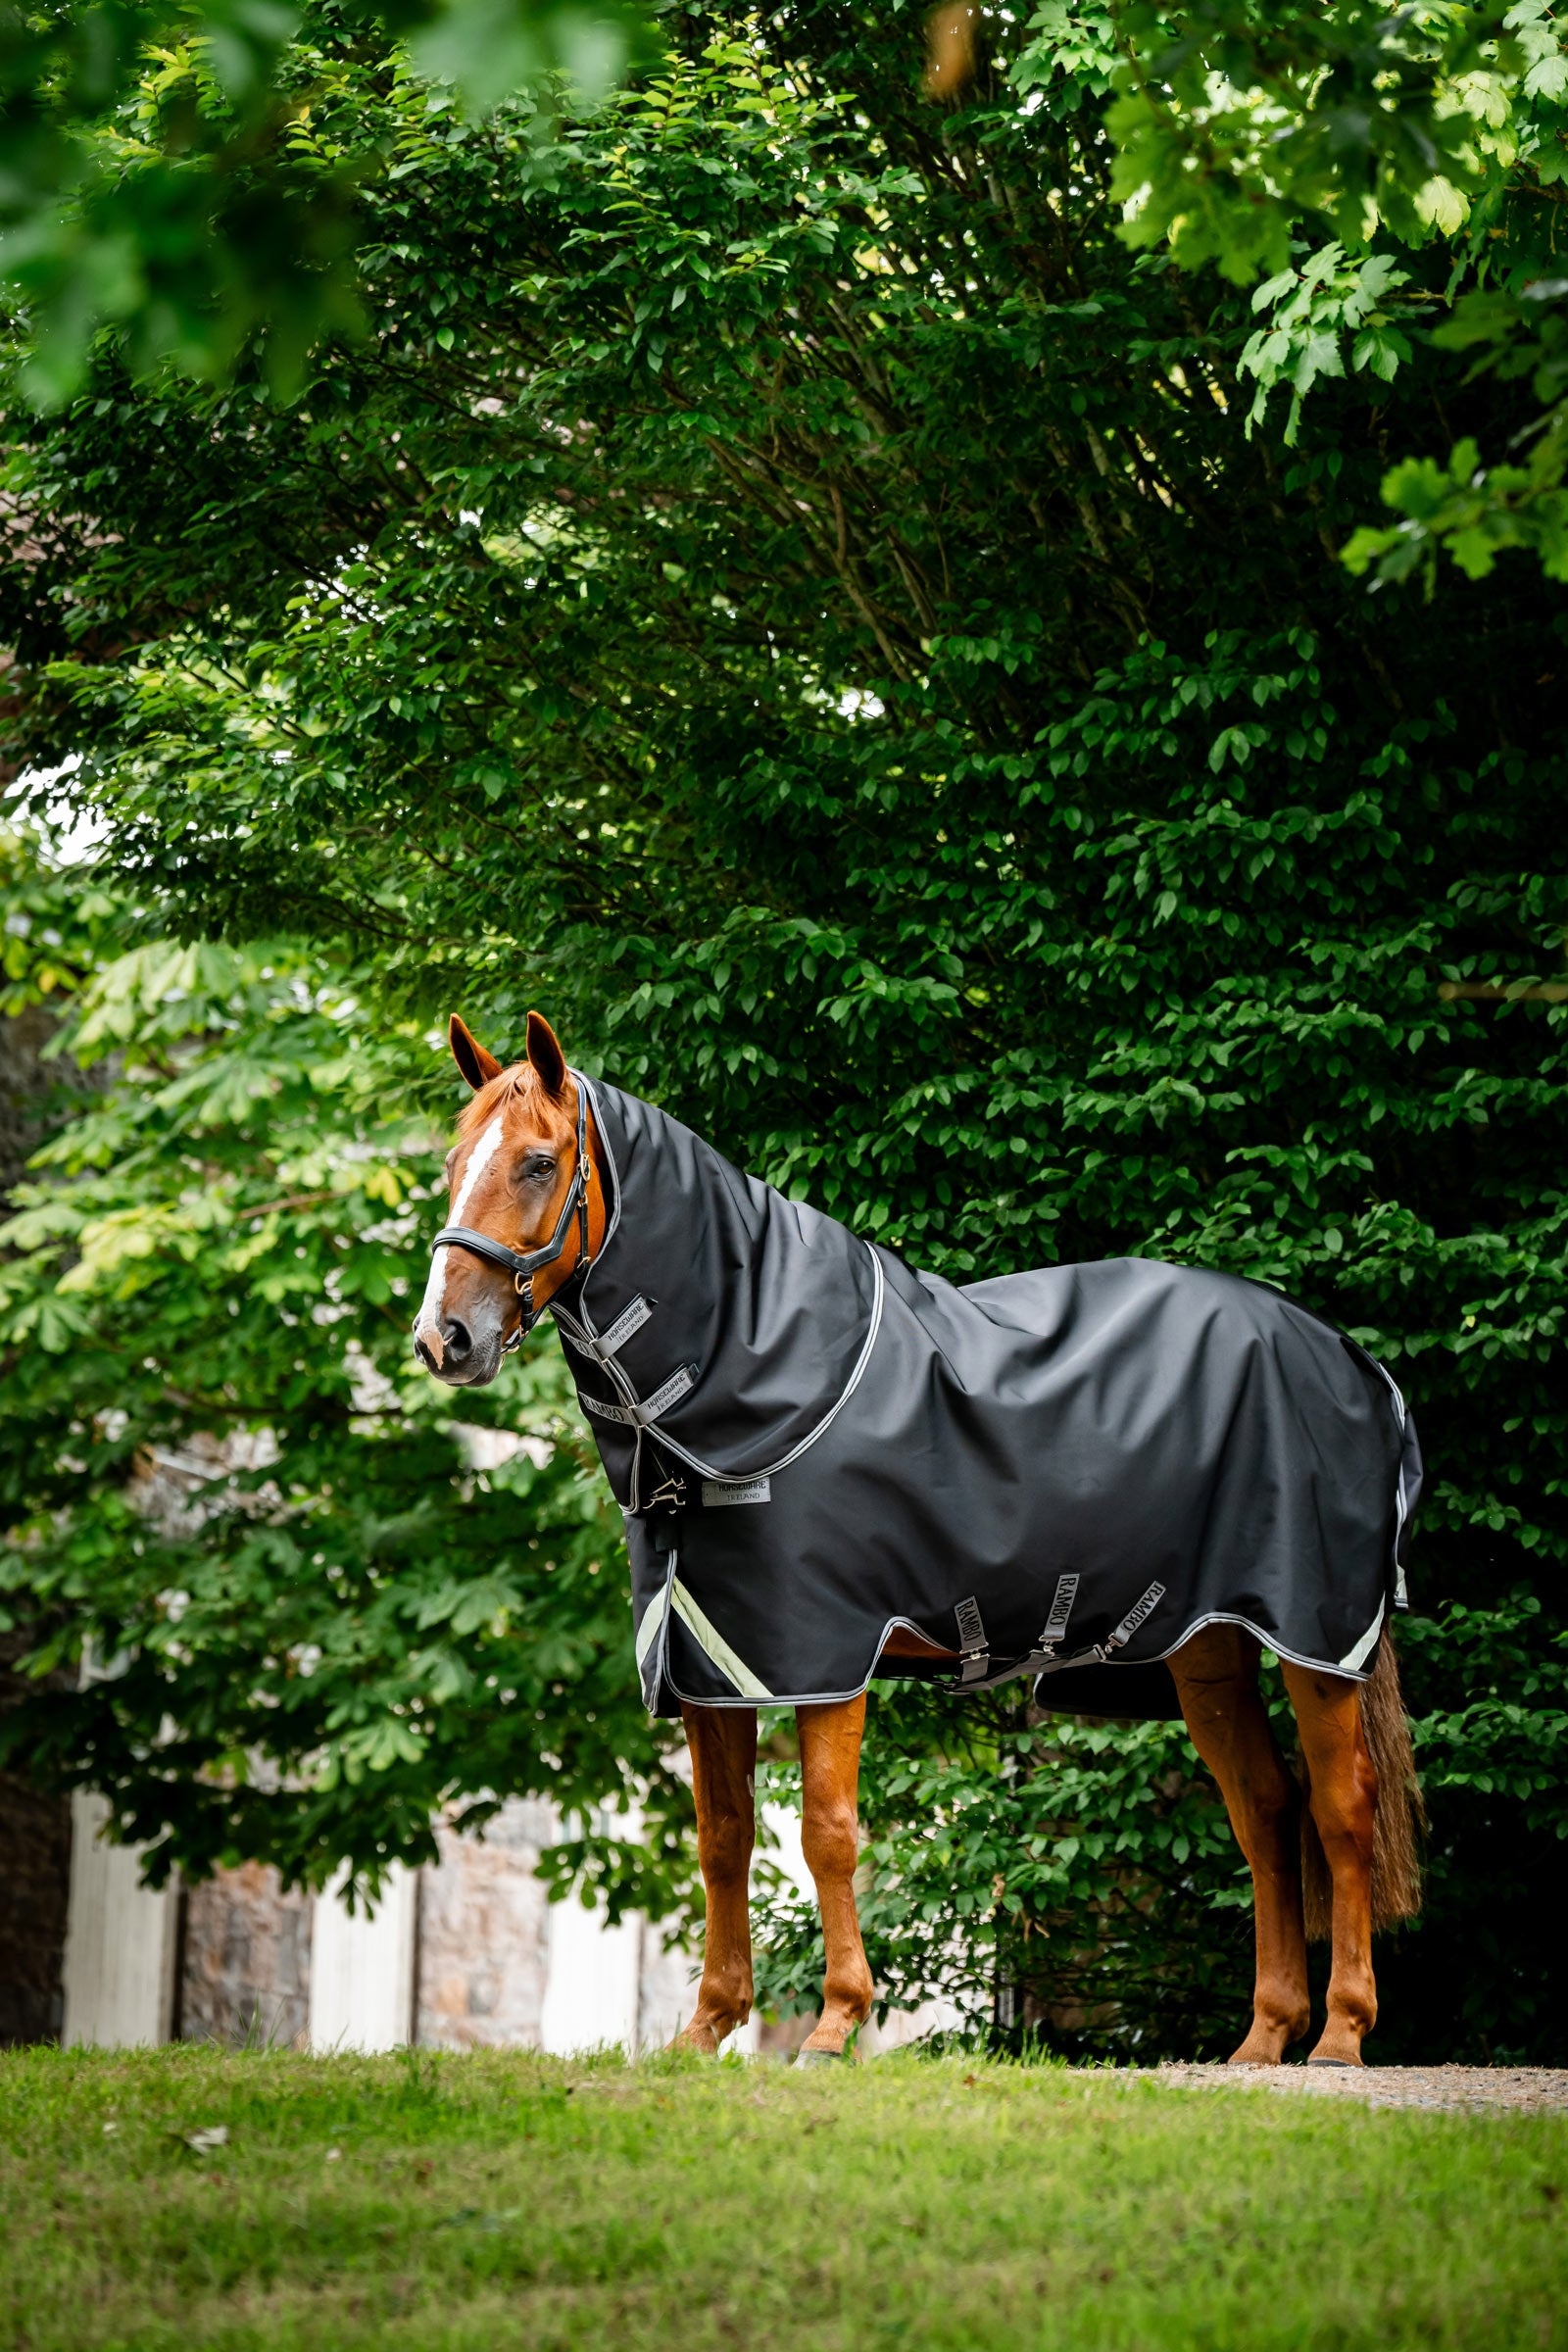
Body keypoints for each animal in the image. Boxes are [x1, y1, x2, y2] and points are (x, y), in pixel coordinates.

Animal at [414, 1010, 1422, 2067]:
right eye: (452, 1163)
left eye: (537, 1162)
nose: (444, 1338)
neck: (753, 1368)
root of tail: (1356, 1366)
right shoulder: (711, 1662)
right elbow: (723, 1837)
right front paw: (707, 2028)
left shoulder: (825, 1652)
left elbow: (826, 1831)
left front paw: (835, 2024)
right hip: (1210, 1648)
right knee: (1264, 1812)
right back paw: (1263, 2038)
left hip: (1315, 1642)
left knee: (1340, 1808)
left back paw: (1341, 2035)